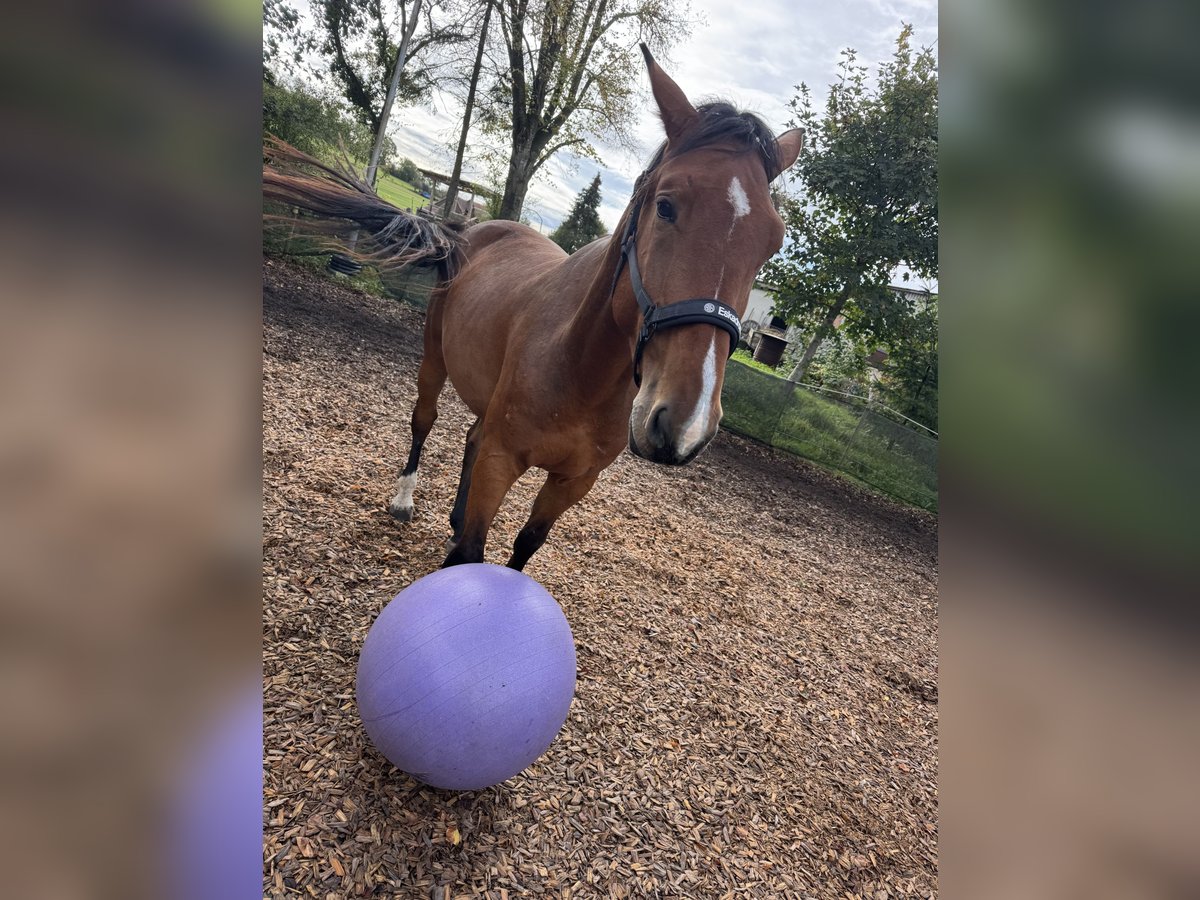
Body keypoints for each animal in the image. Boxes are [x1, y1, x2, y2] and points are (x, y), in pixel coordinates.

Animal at [267, 45, 801, 571]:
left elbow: (524, 545)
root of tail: (469, 231)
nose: (686, 424)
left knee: (471, 437)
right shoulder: (502, 459)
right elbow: (471, 550)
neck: (580, 365)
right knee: (425, 420)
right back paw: (404, 499)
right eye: (666, 205)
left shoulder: (573, 481)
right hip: (434, 359)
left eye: (773, 243)